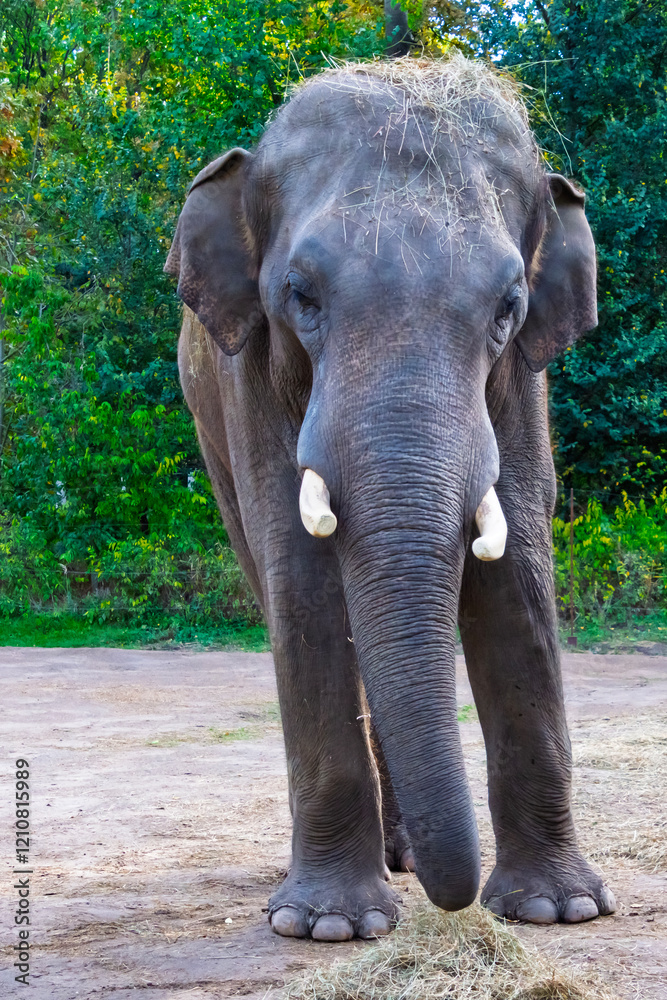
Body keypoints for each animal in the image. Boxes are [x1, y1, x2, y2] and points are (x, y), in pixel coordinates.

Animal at [165, 55, 616, 942]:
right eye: (300, 295)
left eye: (508, 308)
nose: (456, 901)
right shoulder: (247, 378)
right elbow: (301, 578)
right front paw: (327, 927)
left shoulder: (523, 380)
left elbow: (517, 569)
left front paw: (559, 910)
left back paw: (405, 859)